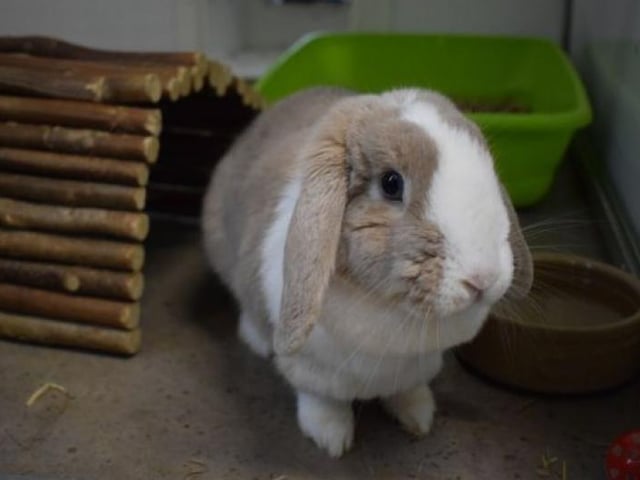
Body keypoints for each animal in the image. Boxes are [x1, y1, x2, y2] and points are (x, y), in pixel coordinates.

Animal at [201, 87, 533, 457]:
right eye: (391, 184)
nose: (483, 279)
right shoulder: (312, 370)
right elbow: (321, 401)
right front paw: (332, 439)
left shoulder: (415, 368)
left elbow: (409, 392)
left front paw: (419, 417)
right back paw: (258, 341)